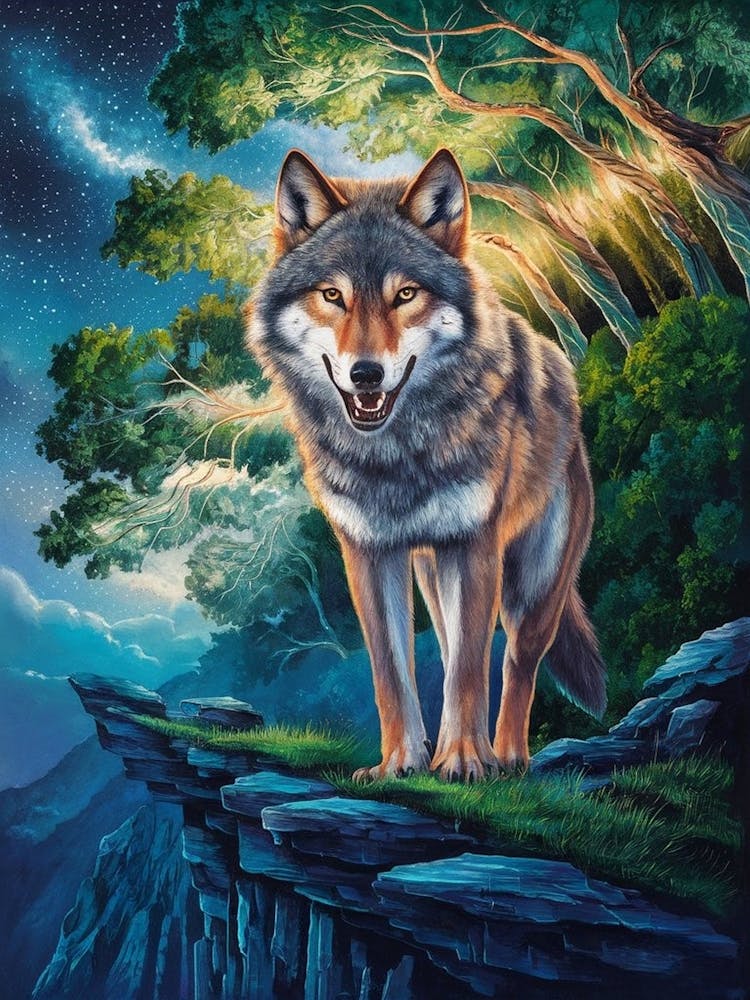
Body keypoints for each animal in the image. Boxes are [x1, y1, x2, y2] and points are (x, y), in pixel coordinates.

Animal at [245, 148, 606, 782]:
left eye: (406, 295)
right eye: (332, 296)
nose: (366, 374)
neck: (394, 458)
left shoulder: (473, 545)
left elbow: (468, 672)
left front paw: (462, 761)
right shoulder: (367, 554)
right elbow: (393, 673)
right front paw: (400, 764)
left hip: (532, 585)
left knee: (515, 662)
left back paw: (506, 757)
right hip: (434, 581)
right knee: (453, 645)